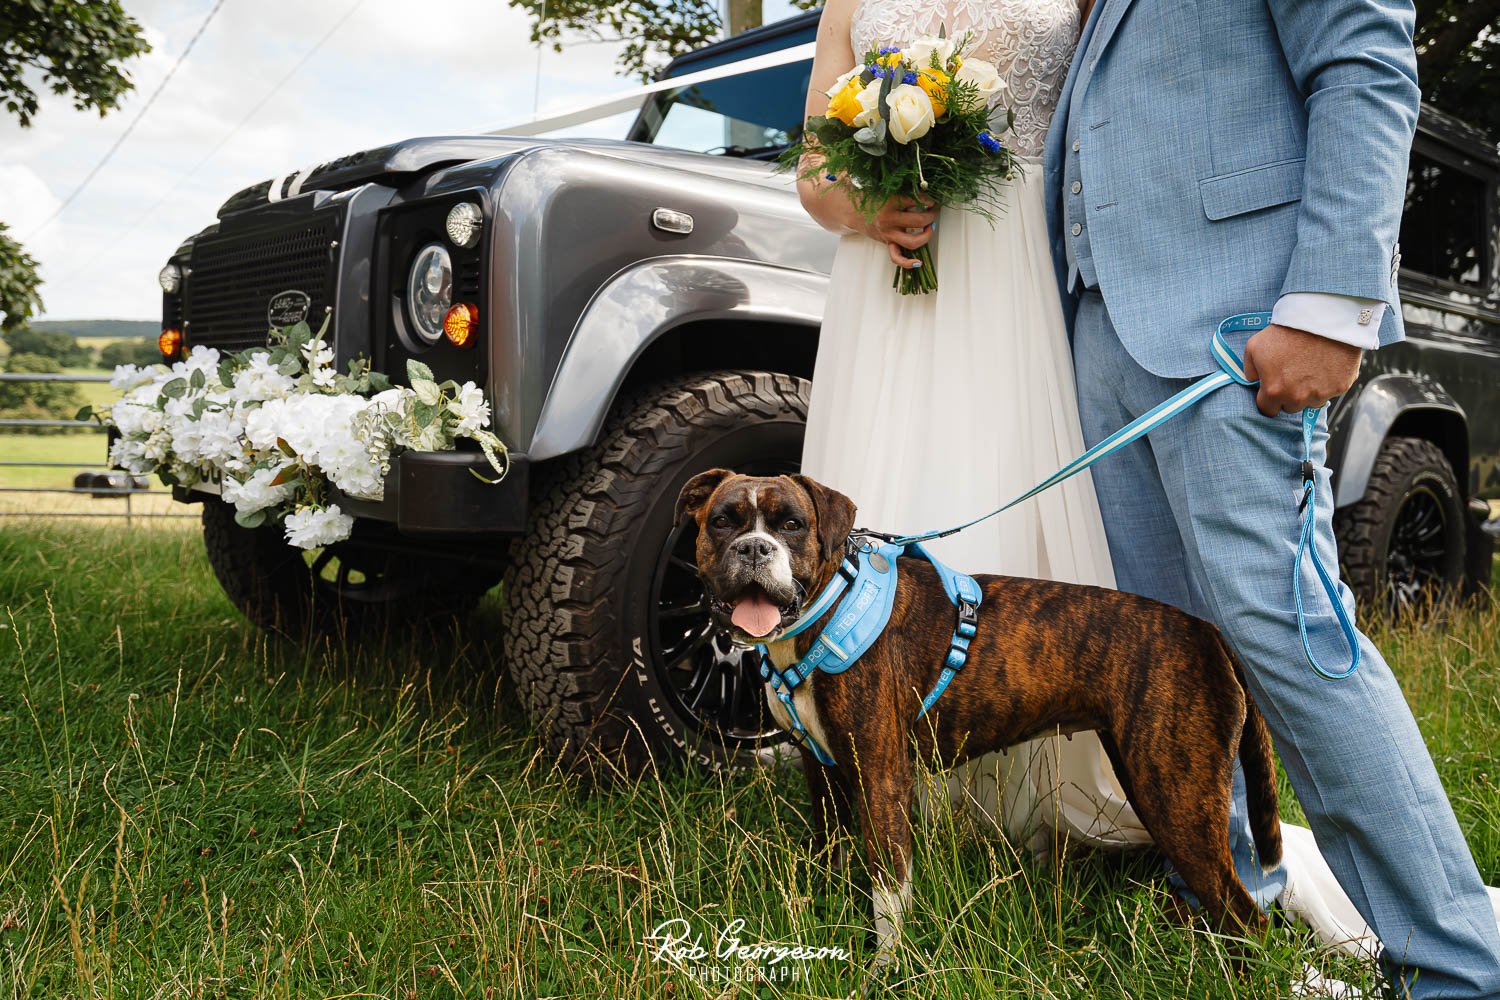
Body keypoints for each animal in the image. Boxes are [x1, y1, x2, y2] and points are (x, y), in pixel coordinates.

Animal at [675, 473, 1284, 983]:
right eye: (723, 520)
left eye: (792, 525)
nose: (755, 548)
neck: (826, 608)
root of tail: (1204, 629)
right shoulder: (821, 771)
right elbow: (831, 854)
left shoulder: (881, 780)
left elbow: (889, 892)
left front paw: (885, 969)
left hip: (1175, 798)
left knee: (1246, 917)